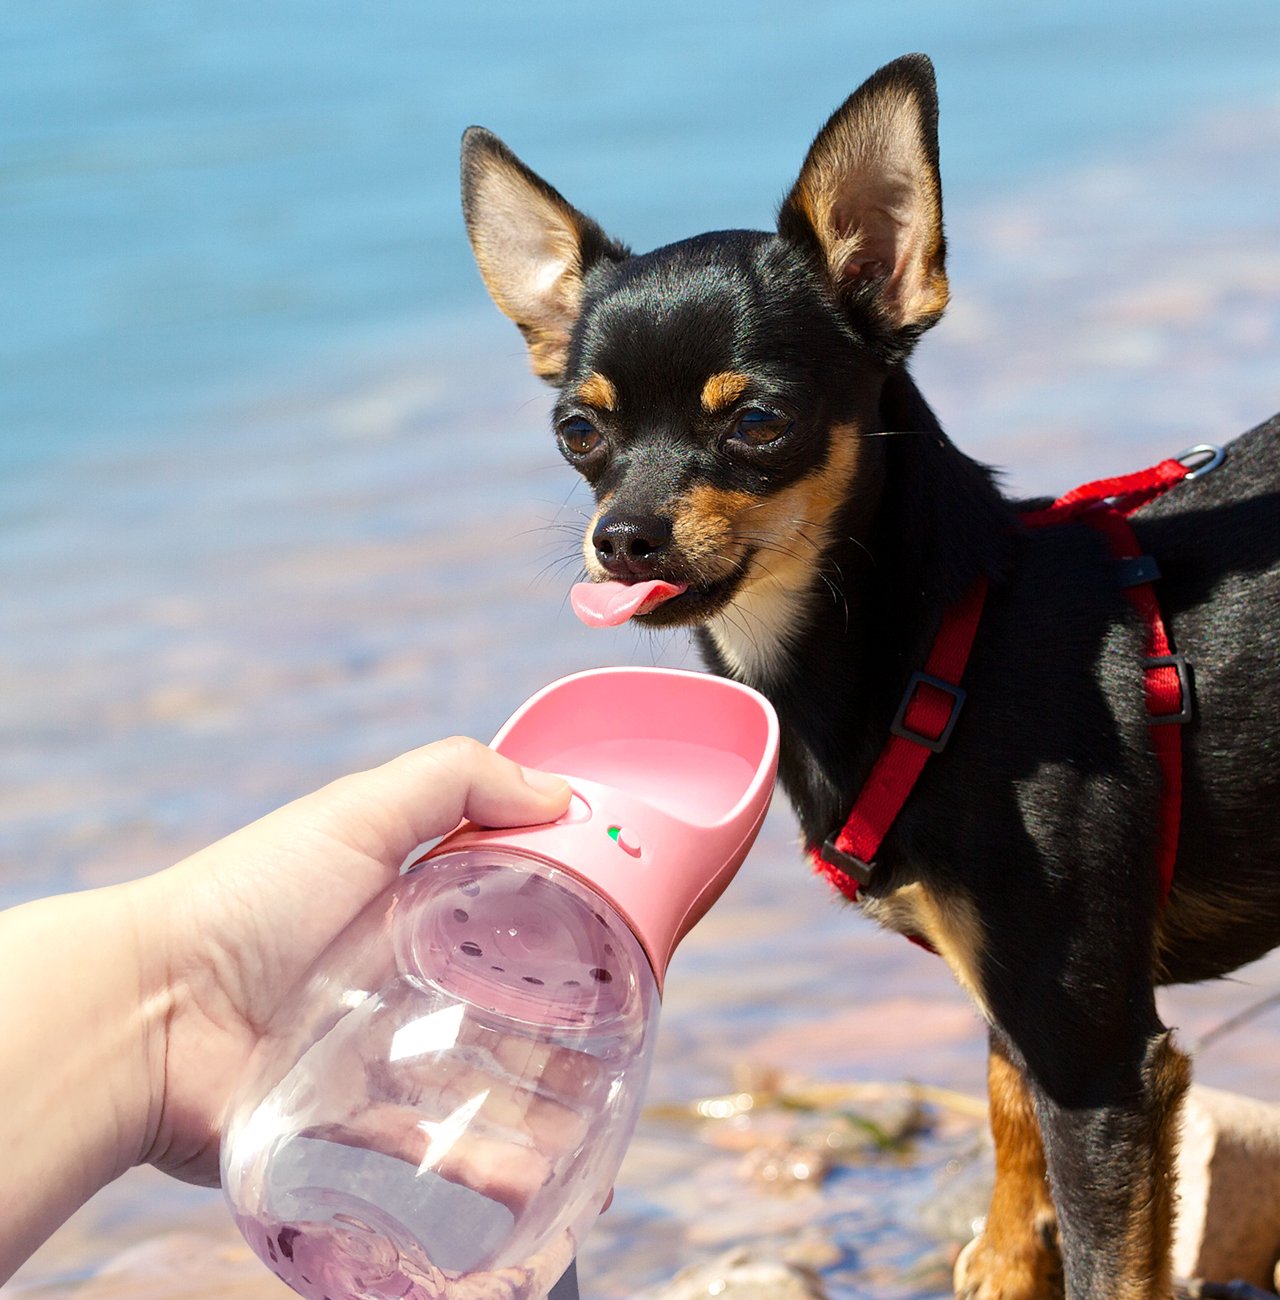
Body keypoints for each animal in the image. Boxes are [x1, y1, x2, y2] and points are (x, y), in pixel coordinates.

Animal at [460, 53, 1278, 1300]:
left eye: (757, 421)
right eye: (577, 431)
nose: (623, 536)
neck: (943, 647)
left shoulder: (1099, 1061)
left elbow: (1102, 1255)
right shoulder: (1016, 1017)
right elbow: (1007, 1156)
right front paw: (998, 1252)